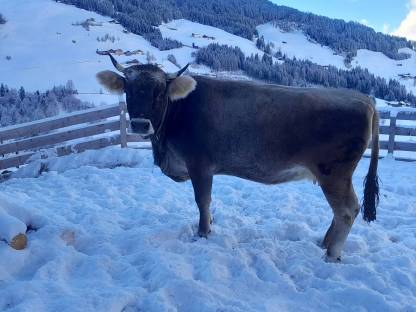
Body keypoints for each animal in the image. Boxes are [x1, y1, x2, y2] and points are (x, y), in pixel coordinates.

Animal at [96, 54, 378, 262]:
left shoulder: (200, 164)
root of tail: (363, 98)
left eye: (159, 92)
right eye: (129, 90)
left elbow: (203, 201)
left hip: (334, 173)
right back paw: (324, 243)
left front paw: (203, 233)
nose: (140, 124)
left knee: (347, 210)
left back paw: (331, 254)